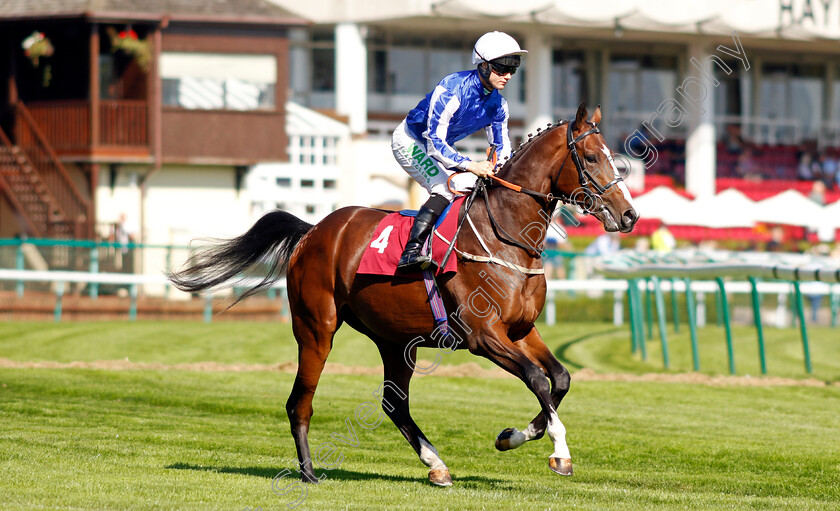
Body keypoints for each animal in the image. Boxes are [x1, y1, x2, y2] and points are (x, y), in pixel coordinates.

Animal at [174, 103, 640, 488]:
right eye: (593, 157)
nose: (629, 215)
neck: (505, 236)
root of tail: (312, 231)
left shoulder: (522, 330)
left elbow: (558, 379)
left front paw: (513, 436)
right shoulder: (483, 336)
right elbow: (537, 379)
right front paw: (559, 453)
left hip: (395, 341)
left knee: (392, 404)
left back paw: (437, 466)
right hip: (316, 328)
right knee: (299, 402)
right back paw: (307, 472)